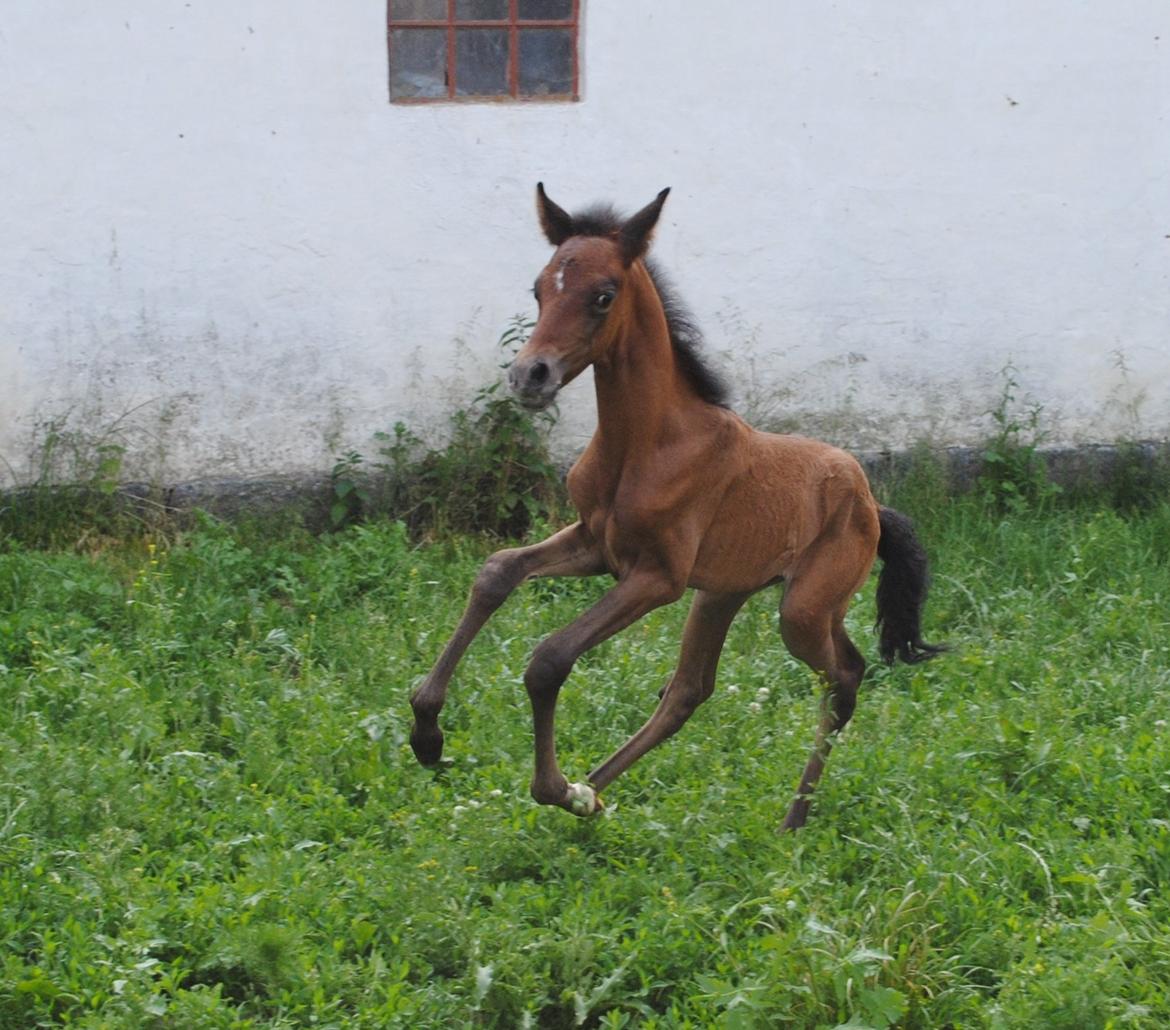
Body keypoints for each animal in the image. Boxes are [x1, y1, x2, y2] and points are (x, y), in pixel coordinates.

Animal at [411, 184, 940, 828]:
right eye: (538, 289)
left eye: (603, 295)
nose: (529, 376)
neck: (646, 445)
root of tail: (872, 506)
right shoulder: (596, 544)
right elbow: (497, 571)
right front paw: (427, 734)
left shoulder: (658, 577)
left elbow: (549, 658)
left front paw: (552, 787)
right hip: (722, 593)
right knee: (691, 689)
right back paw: (594, 793)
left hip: (805, 608)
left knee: (844, 676)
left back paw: (790, 819)